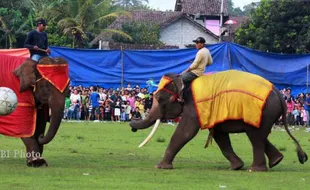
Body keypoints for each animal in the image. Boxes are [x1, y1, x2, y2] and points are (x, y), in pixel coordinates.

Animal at [129, 70, 308, 172]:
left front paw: (160, 167)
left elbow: (186, 132)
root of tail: (278, 93)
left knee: (256, 137)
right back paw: (276, 161)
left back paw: (255, 170)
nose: (132, 126)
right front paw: (236, 167)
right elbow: (220, 136)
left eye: (160, 99)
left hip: (263, 112)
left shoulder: (193, 107)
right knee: (260, 136)